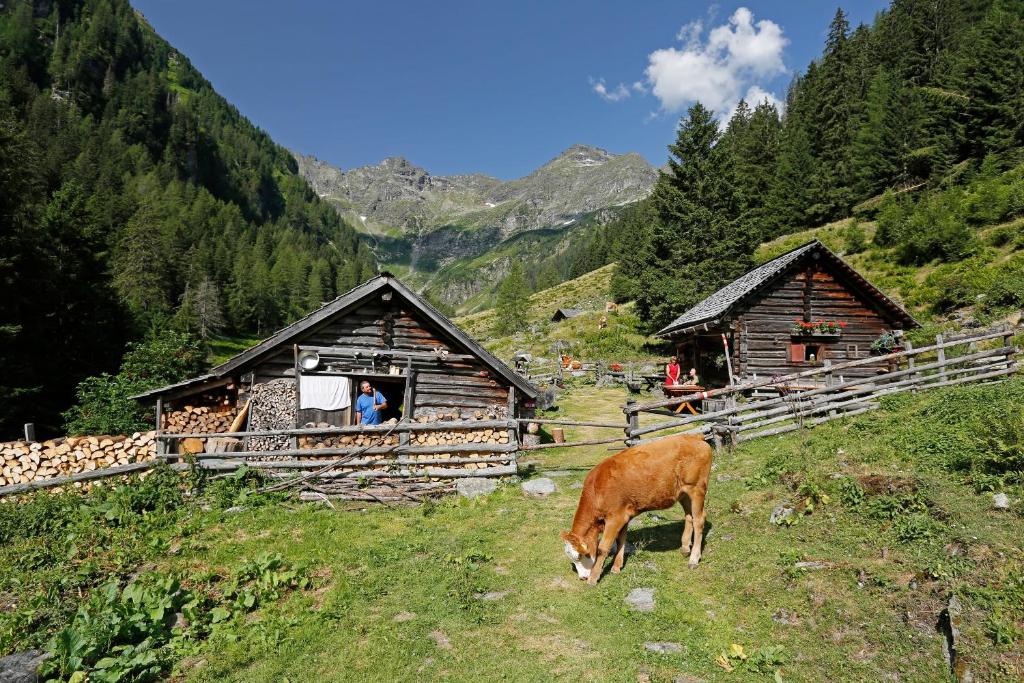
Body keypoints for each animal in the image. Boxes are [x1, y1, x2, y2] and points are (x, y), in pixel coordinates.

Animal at [560, 433, 712, 585]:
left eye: (579, 556)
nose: (582, 577)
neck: (597, 488)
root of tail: (694, 436)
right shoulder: (623, 515)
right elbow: (620, 540)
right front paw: (616, 567)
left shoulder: (614, 517)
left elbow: (603, 548)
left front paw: (593, 578)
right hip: (683, 493)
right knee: (689, 516)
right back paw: (685, 548)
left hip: (697, 488)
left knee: (699, 520)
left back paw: (693, 559)